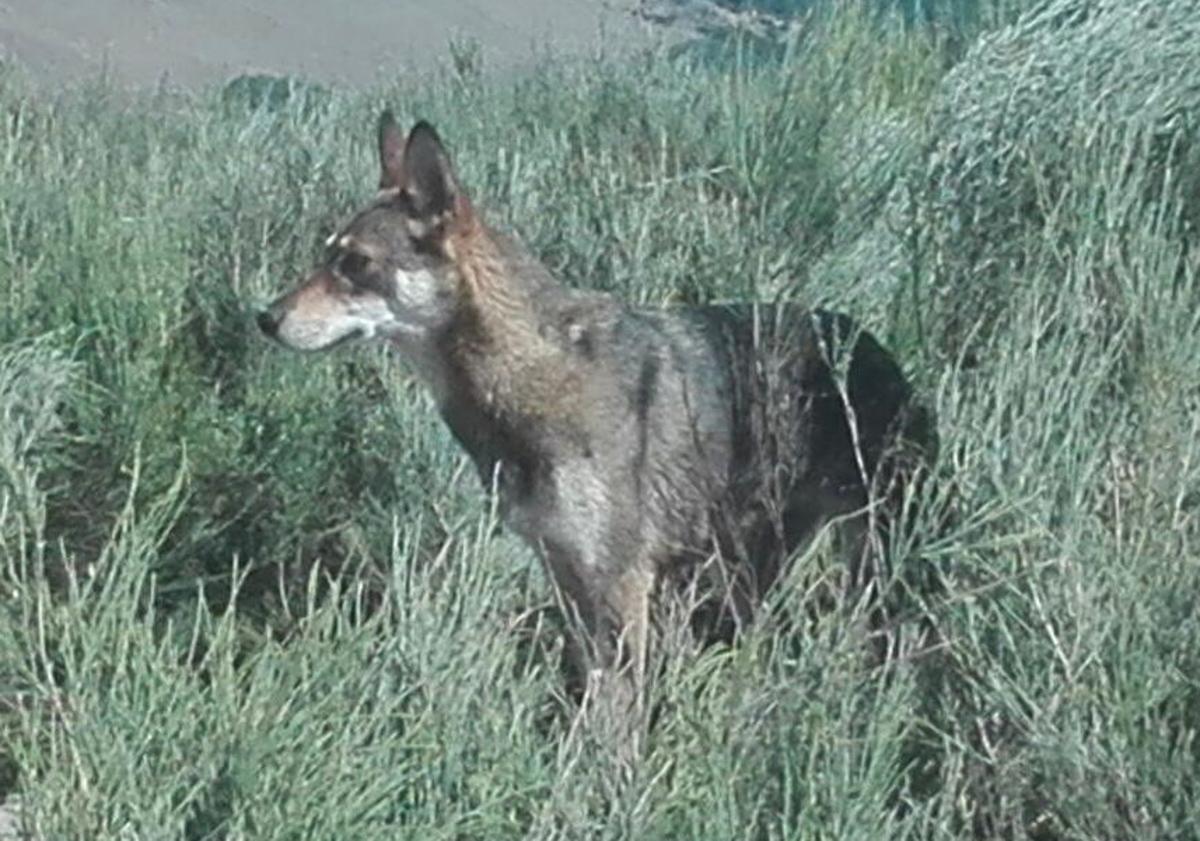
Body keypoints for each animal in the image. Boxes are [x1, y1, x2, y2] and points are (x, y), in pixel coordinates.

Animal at [260, 113, 936, 695]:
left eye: (354, 264)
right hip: (748, 572)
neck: (531, 378)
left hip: (877, 566)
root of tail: (872, 346)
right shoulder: (568, 580)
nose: (264, 319)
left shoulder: (618, 589)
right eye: (325, 256)